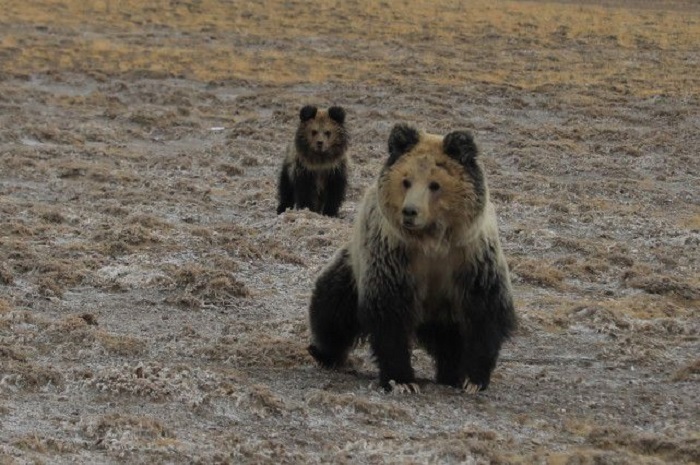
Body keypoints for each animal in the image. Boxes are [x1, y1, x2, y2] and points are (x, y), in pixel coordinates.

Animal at [306, 122, 516, 392]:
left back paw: (451, 373)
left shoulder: (471, 257)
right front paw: (403, 380)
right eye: (406, 181)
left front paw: (472, 379)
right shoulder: (393, 255)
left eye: (434, 184)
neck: (432, 242)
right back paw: (323, 353)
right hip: (353, 267)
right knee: (332, 308)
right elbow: (389, 312)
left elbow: (485, 311)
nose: (410, 211)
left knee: (451, 338)